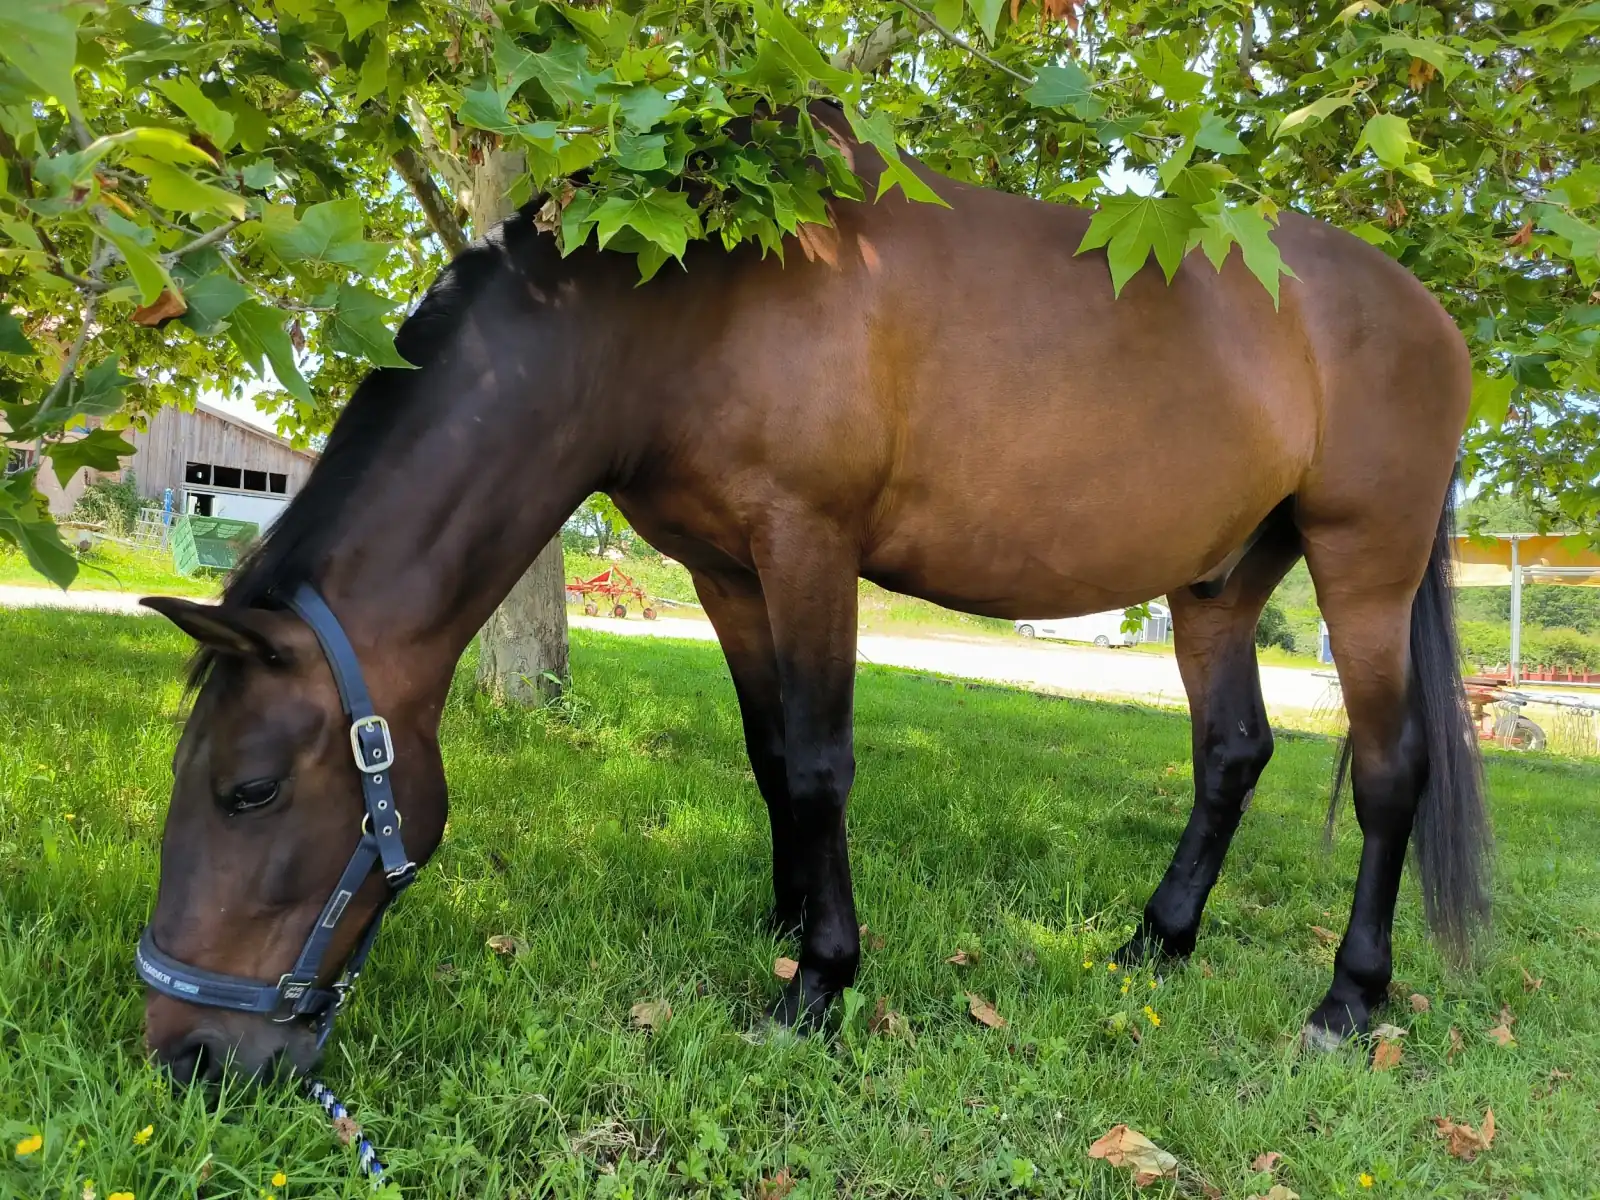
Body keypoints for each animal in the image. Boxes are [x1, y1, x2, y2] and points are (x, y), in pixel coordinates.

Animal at [136, 104, 1489, 1082]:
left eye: (248, 791)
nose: (188, 1054)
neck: (683, 302)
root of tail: (1426, 314)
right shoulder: (726, 570)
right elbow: (772, 752)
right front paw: (788, 930)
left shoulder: (807, 545)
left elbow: (825, 760)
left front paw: (824, 983)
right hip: (1219, 582)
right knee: (1231, 753)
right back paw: (1155, 944)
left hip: (1364, 562)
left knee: (1390, 774)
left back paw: (1346, 1000)